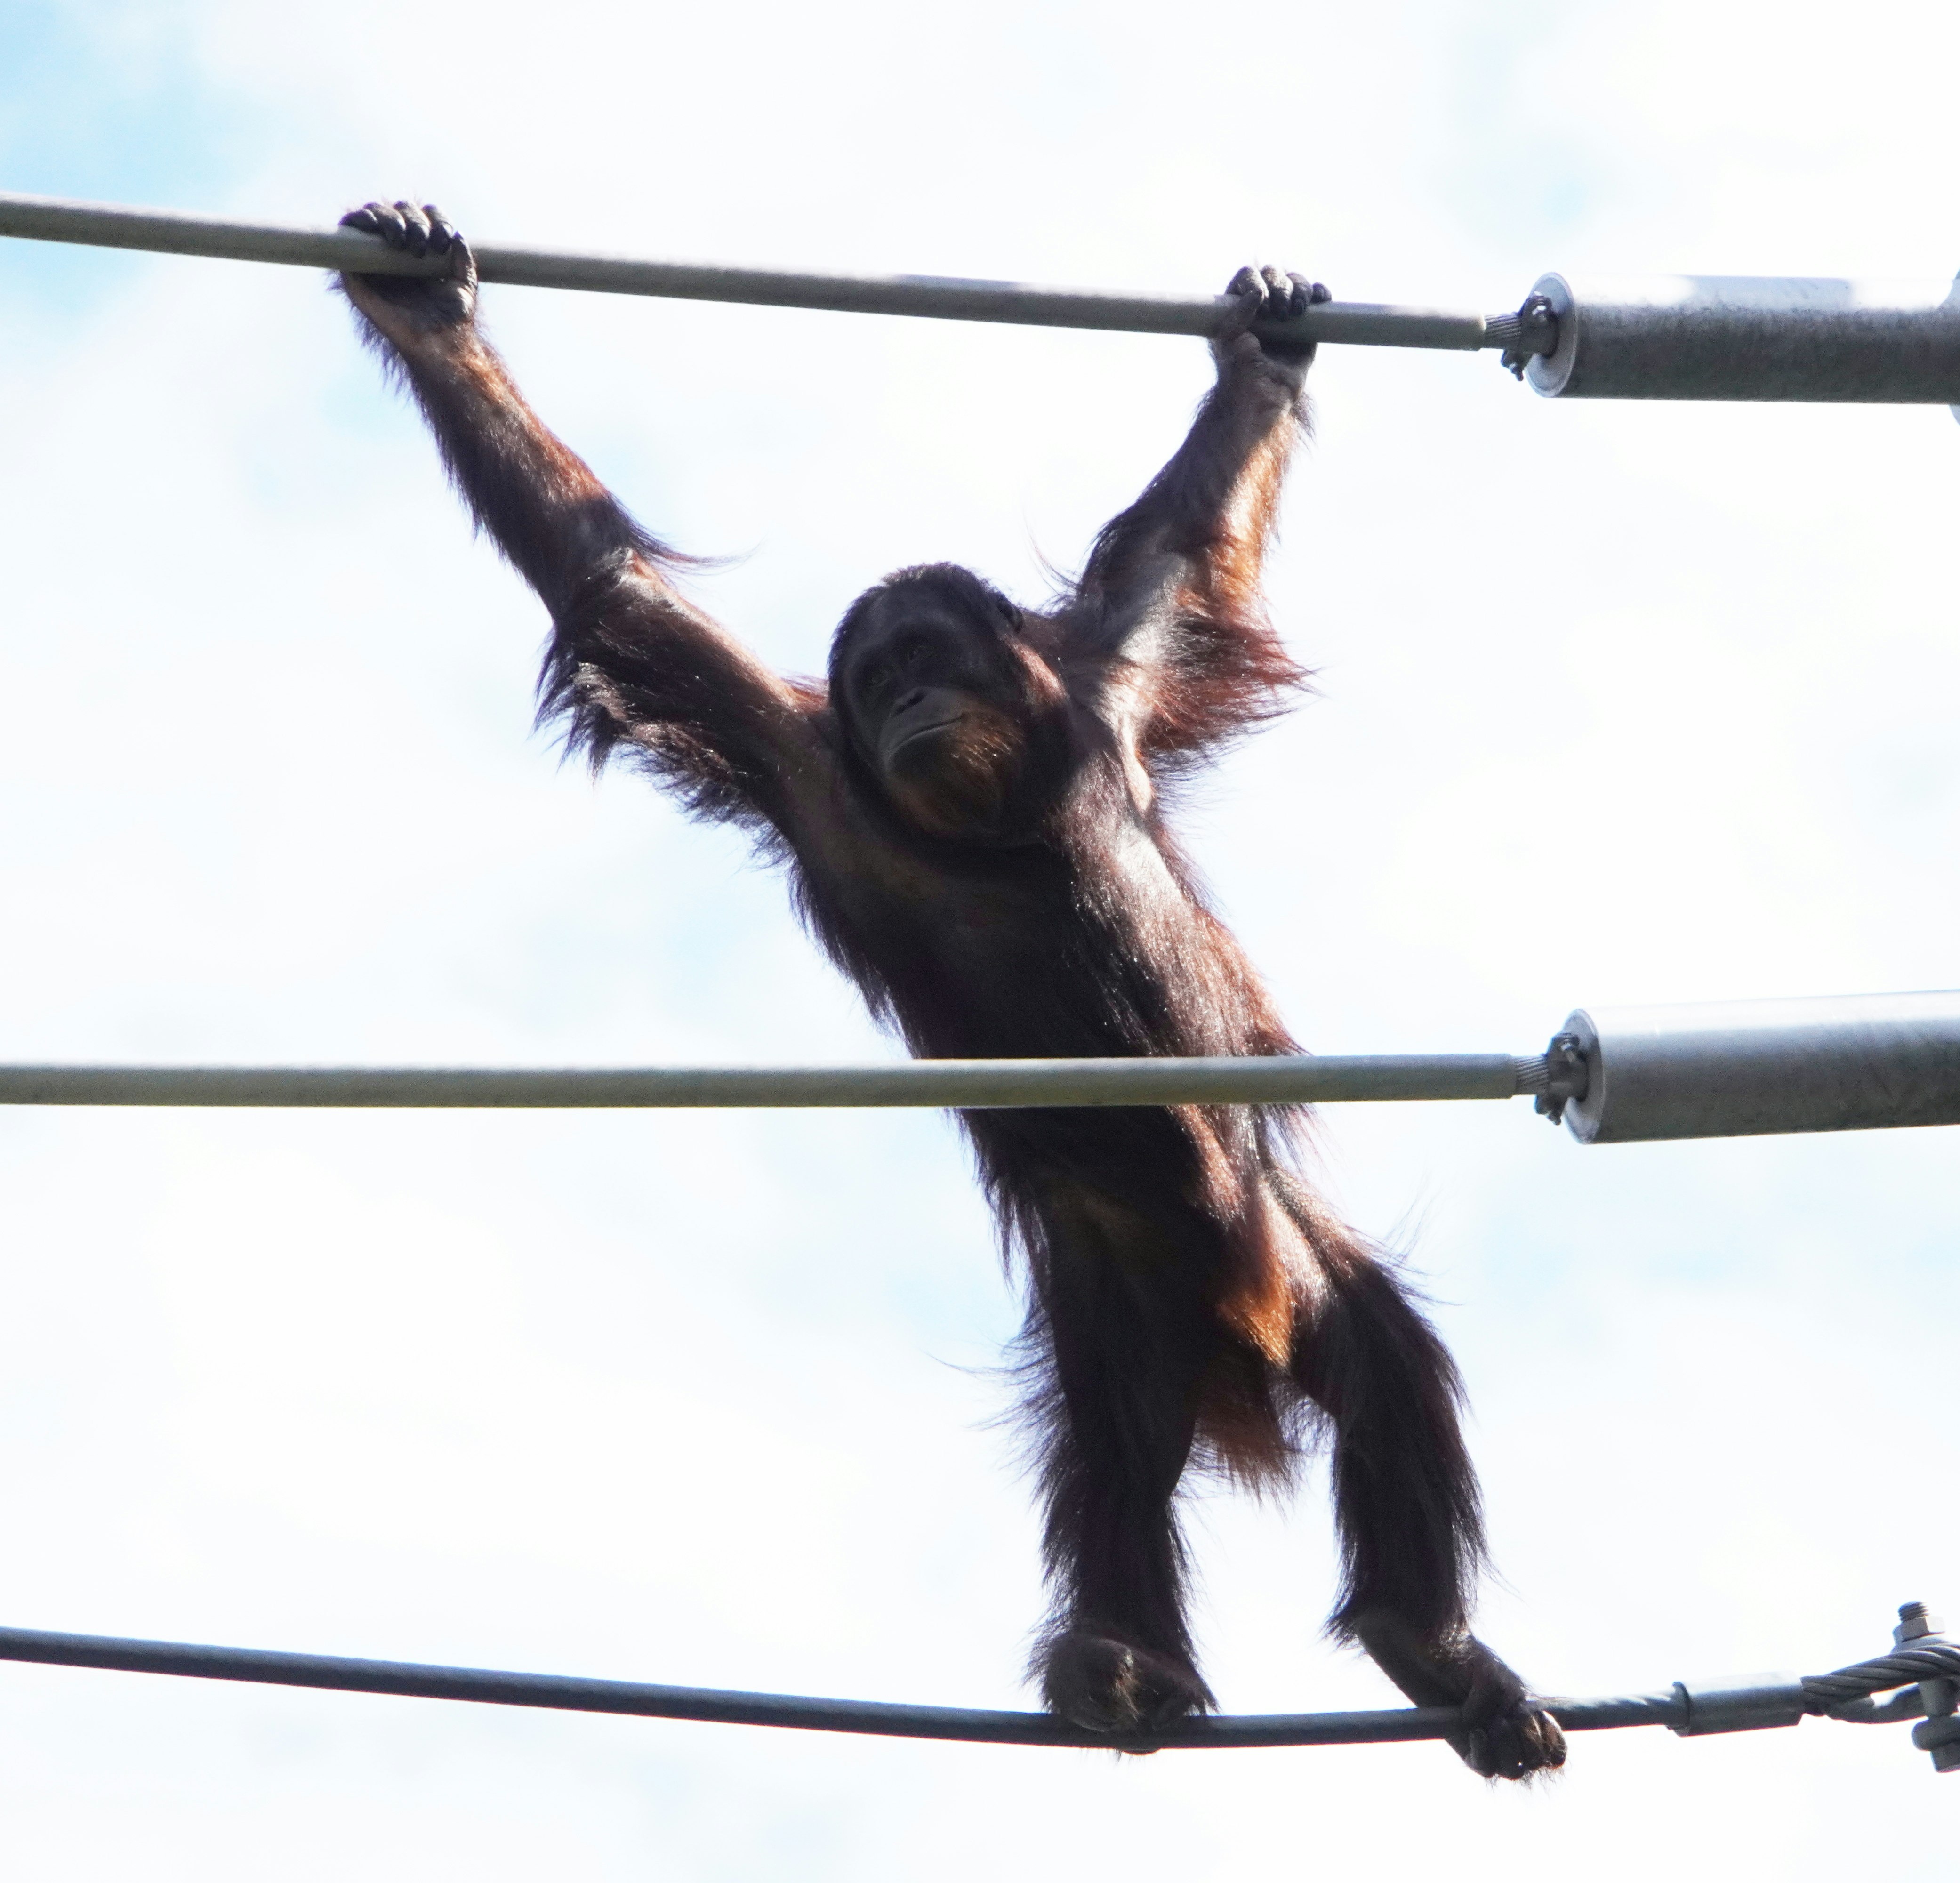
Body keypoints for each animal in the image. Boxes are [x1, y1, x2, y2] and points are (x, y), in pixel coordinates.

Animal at [337, 197, 1564, 1779]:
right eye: (871, 685)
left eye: (924, 658)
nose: (907, 703)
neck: (998, 824)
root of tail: (1228, 1329)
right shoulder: (791, 757)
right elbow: (612, 595)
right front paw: (426, 315)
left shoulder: (1112, 674)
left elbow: (1179, 540)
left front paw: (1264, 351)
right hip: (1113, 1288)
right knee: (1113, 1451)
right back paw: (1124, 1658)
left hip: (1272, 1249)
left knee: (1374, 1347)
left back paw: (1418, 1639)